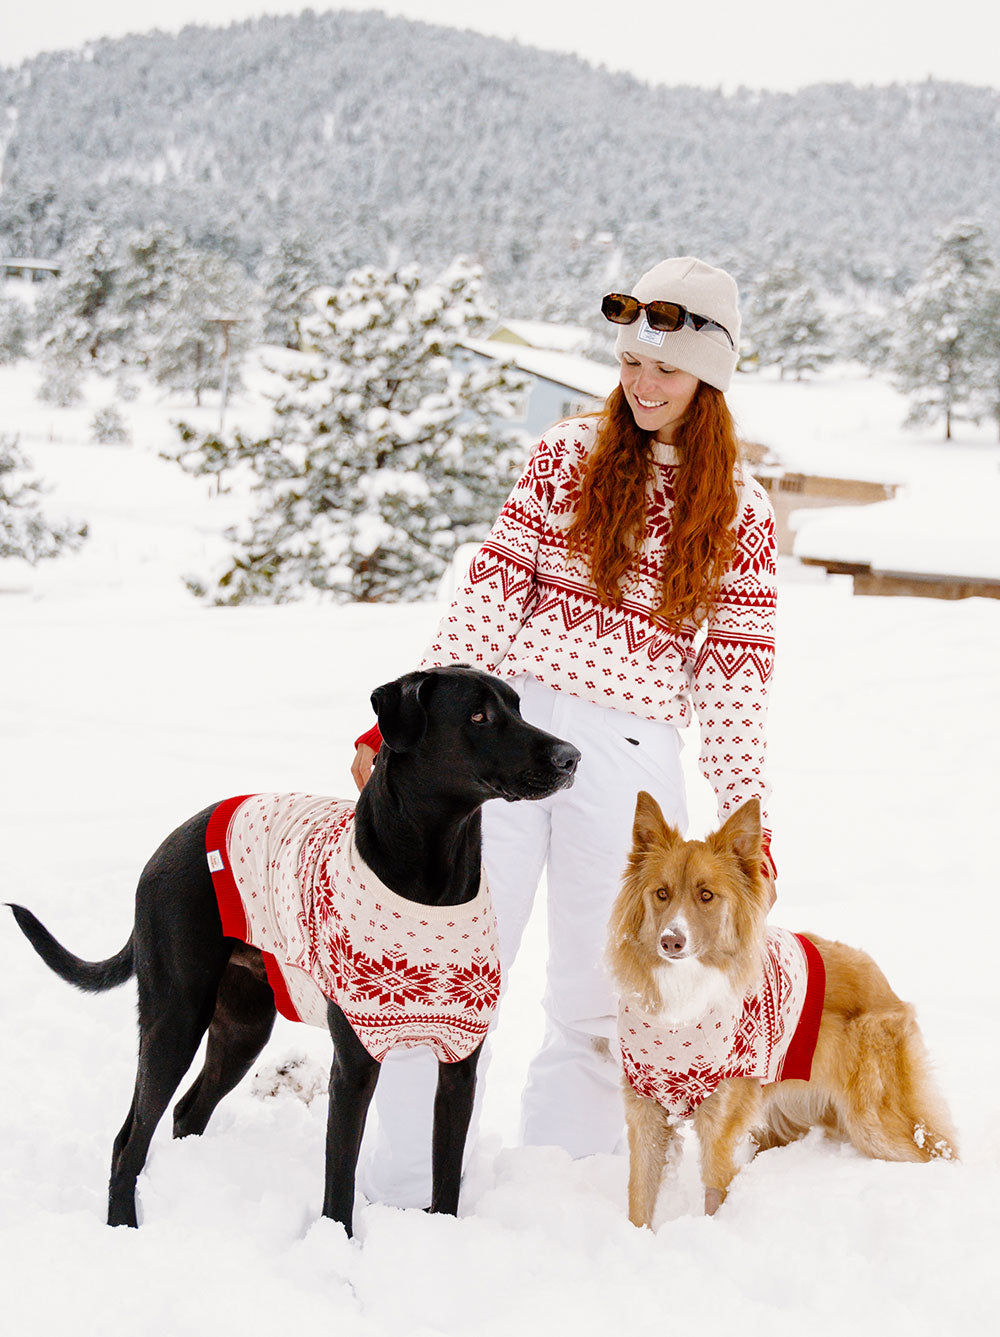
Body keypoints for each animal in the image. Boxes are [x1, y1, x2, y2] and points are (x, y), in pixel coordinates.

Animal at [7, 663, 582, 1235]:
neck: (434, 877)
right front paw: (336, 1245)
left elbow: (446, 1177)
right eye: (478, 716)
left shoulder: (460, 1062)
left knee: (187, 1110)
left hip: (242, 1026)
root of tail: (168, 843)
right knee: (129, 1138)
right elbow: (339, 1177)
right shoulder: (354, 1063)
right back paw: (124, 1225)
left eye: (518, 708)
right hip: (175, 1017)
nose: (571, 756)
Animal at [604, 786, 957, 1224]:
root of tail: (880, 979)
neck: (682, 1004)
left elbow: (715, 1192)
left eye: (706, 895)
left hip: (874, 1119)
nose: (672, 940)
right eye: (661, 893)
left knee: (934, 1152)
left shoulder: (722, 1123)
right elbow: (639, 1199)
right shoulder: (646, 1113)